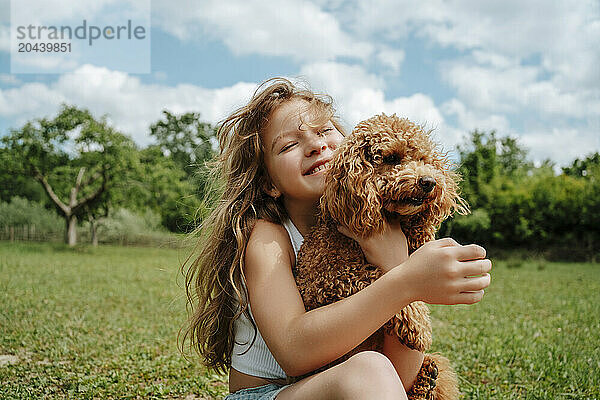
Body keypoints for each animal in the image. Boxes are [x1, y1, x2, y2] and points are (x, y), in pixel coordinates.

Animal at [292, 114, 466, 398]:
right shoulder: (326, 279)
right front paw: (418, 324)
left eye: (424, 159)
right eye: (392, 158)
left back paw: (428, 377)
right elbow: (383, 279)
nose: (429, 182)